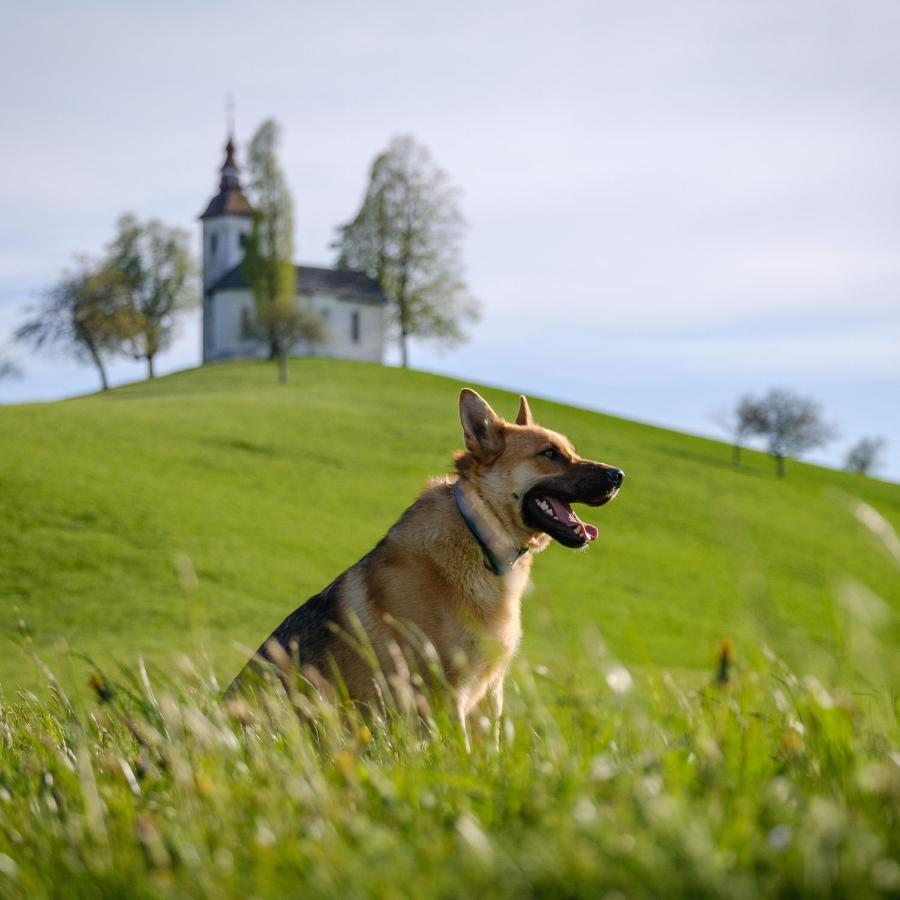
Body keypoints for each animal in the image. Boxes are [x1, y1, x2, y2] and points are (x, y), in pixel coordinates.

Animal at [230, 390, 624, 748]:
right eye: (550, 454)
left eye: (570, 451)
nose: (618, 475)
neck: (479, 536)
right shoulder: (445, 692)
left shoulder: (489, 694)